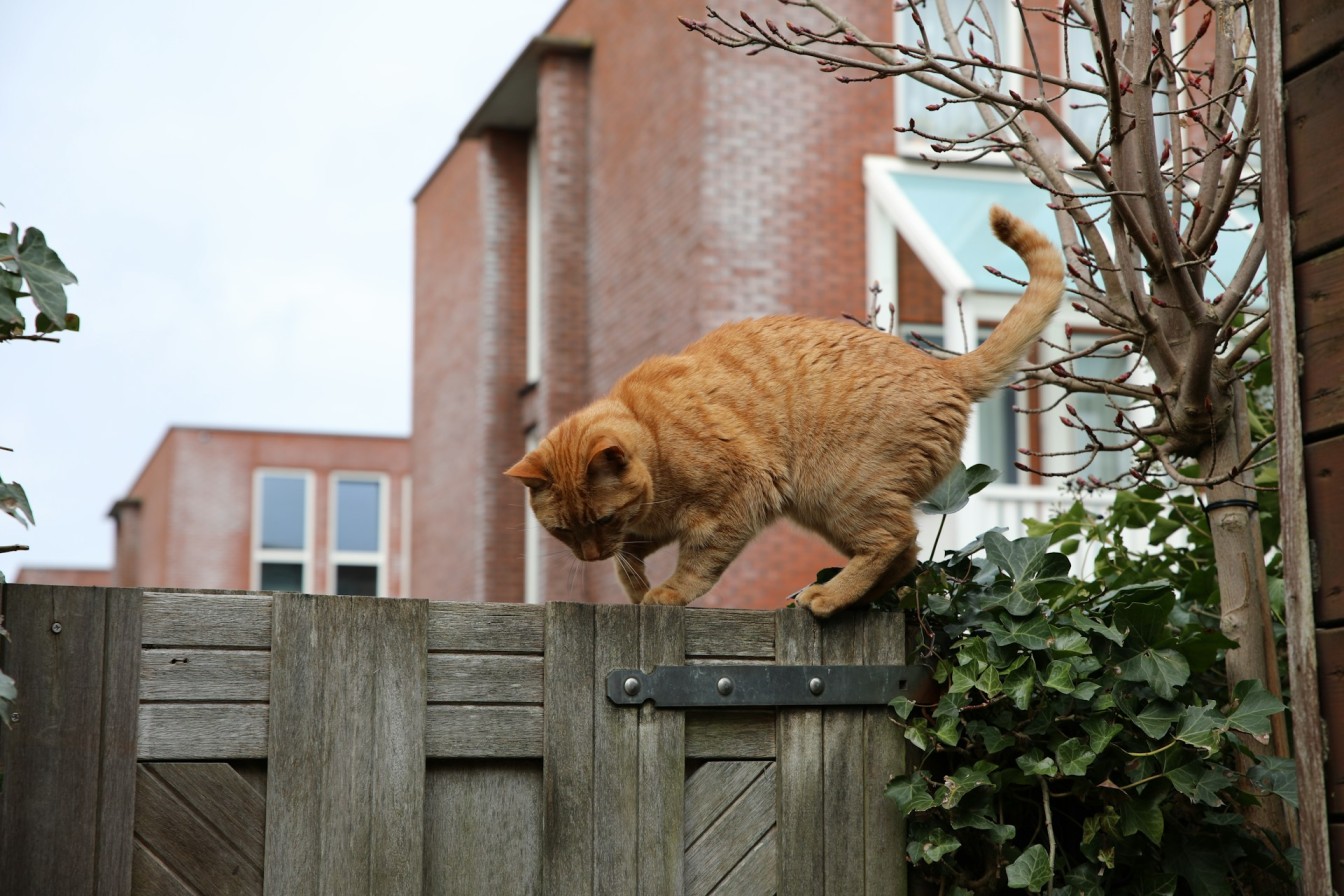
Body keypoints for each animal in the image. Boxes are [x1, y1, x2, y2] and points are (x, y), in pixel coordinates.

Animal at [505, 206, 1059, 617]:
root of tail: (943, 369)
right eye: (564, 531)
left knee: (894, 539)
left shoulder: (739, 496)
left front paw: (667, 592)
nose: (590, 554)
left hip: (836, 489)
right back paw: (849, 600)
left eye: (601, 518)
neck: (654, 442)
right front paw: (636, 588)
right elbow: (629, 563)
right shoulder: (647, 530)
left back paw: (827, 597)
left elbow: (698, 561)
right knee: (906, 556)